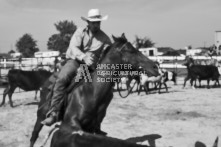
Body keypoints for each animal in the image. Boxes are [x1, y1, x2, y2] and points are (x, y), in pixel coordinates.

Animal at [30, 33, 160, 147]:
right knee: (34, 136)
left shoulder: (92, 127)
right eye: (131, 50)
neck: (92, 92)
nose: (155, 67)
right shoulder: (69, 123)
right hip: (40, 116)